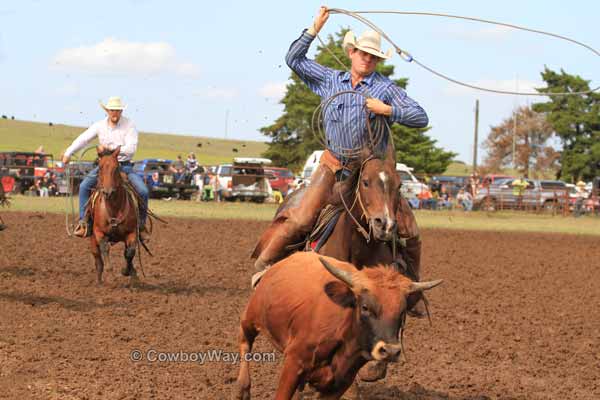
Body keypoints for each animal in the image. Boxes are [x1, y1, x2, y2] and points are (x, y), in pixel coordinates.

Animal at [89, 147, 139, 284]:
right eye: (100, 167)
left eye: (116, 168)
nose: (108, 192)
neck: (114, 208)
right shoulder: (98, 232)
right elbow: (104, 249)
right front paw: (110, 274)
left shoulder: (132, 232)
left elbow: (130, 252)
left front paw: (126, 271)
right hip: (92, 238)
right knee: (98, 259)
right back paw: (99, 281)